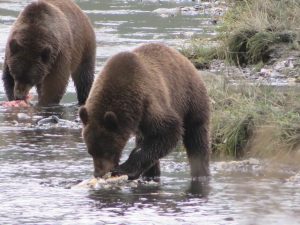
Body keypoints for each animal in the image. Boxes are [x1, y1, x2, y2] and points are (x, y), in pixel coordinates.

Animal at [79, 43, 211, 180]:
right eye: (90, 151)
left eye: (107, 151)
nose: (98, 174)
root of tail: (185, 59)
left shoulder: (148, 103)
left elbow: (169, 130)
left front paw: (124, 169)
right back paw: (151, 174)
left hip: (190, 98)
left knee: (196, 137)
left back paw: (201, 172)